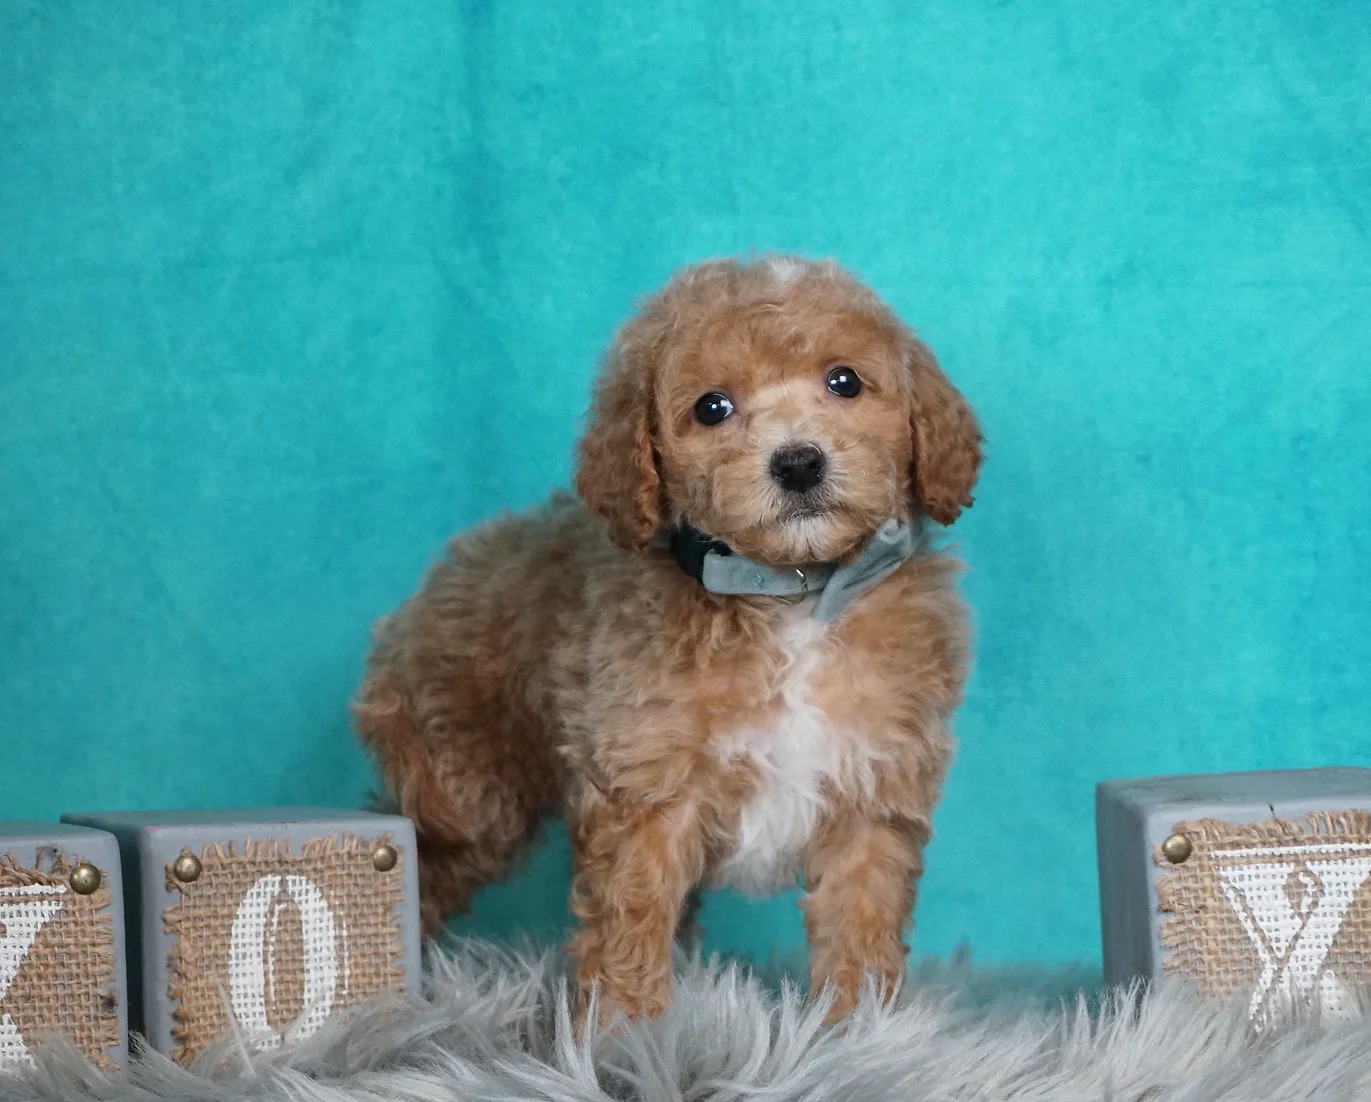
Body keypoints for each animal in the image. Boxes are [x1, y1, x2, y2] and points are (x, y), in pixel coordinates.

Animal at [348, 256, 981, 1025]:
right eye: (711, 407)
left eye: (844, 382)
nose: (798, 462)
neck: (790, 591)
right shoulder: (647, 792)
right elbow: (632, 915)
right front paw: (624, 1030)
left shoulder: (872, 789)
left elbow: (860, 922)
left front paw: (862, 1030)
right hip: (467, 791)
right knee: (427, 855)